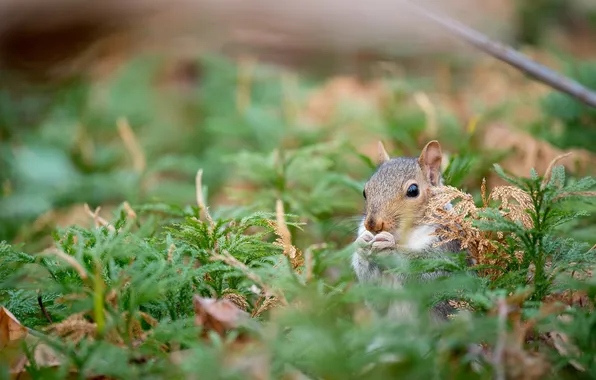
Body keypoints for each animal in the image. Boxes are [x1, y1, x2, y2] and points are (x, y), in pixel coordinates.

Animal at [352, 140, 468, 324]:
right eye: (365, 191)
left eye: (413, 190)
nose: (372, 224)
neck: (403, 238)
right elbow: (377, 298)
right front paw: (362, 244)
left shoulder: (448, 246)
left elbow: (433, 276)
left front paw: (389, 249)